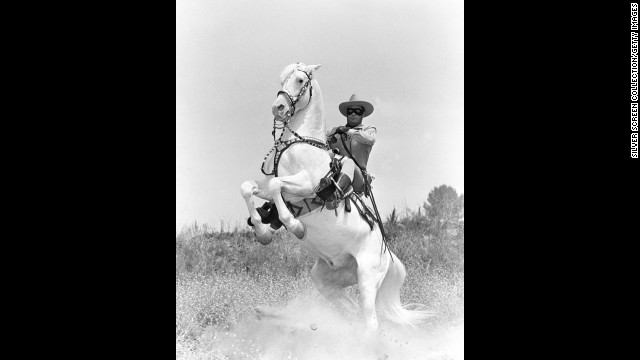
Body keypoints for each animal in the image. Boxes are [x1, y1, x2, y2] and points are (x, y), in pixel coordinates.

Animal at [241, 63, 436, 334]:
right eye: (282, 80)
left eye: (300, 80)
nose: (278, 107)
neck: (300, 144)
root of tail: (387, 255)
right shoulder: (271, 186)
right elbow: (249, 187)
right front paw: (263, 231)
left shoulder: (306, 183)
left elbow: (275, 184)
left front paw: (295, 226)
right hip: (330, 278)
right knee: (352, 311)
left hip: (367, 278)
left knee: (370, 322)